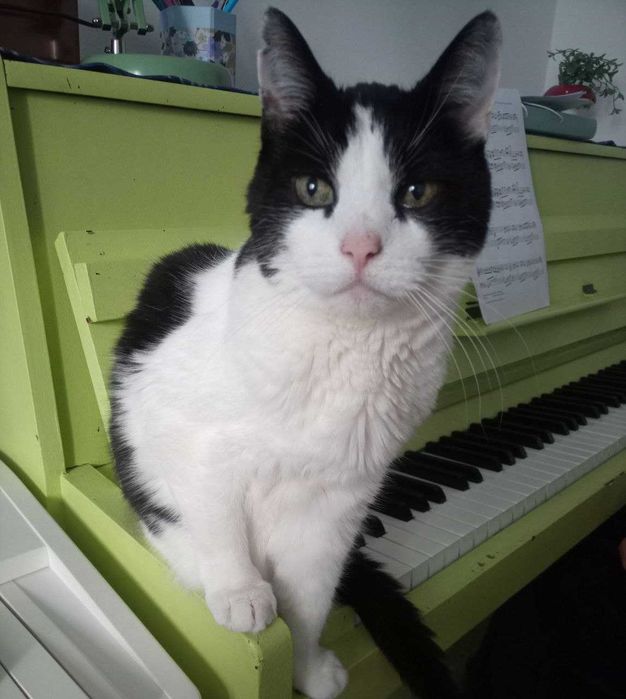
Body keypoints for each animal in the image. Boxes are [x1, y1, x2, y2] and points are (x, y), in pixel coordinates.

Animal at [110, 8, 501, 699]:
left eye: (417, 192)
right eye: (315, 188)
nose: (361, 246)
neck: (347, 352)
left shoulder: (337, 507)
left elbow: (311, 601)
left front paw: (307, 665)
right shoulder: (185, 432)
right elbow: (215, 511)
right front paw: (242, 594)